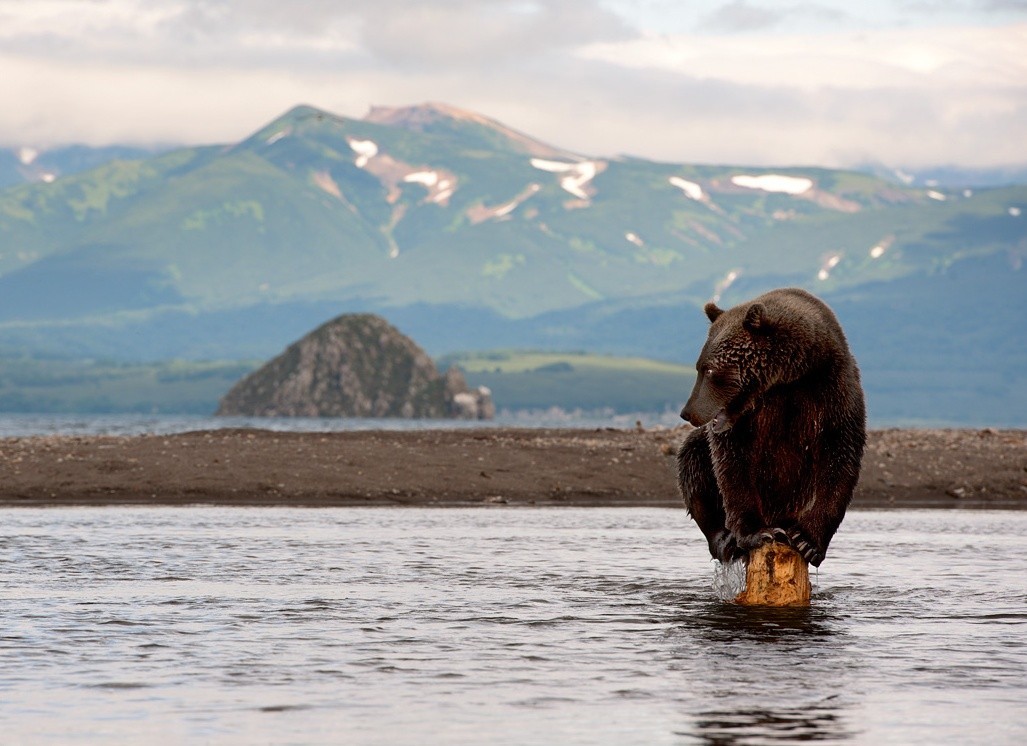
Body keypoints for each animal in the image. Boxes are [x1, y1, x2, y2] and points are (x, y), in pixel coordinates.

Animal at [681, 287, 866, 567]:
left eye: (709, 370)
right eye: (699, 367)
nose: (688, 412)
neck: (788, 379)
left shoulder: (833, 392)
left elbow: (840, 458)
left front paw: (807, 541)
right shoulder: (746, 423)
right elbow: (732, 466)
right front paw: (758, 533)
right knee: (694, 463)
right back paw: (725, 540)